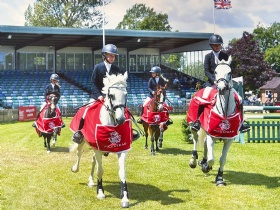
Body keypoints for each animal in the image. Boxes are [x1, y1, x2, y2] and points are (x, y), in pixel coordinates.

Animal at [70, 72, 131, 208]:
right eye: (111, 95)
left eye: (125, 94)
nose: (121, 120)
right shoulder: (97, 149)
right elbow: (100, 171)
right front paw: (100, 193)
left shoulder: (122, 149)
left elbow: (122, 172)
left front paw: (125, 198)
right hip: (82, 141)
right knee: (79, 154)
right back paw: (75, 169)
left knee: (93, 160)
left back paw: (91, 181)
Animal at [187, 55, 242, 185]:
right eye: (216, 72)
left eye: (230, 72)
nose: (221, 89)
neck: (224, 112)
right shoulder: (211, 136)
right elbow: (212, 159)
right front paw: (206, 167)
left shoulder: (229, 139)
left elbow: (222, 159)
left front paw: (220, 179)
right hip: (193, 125)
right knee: (195, 140)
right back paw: (194, 160)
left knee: (204, 143)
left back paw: (202, 161)